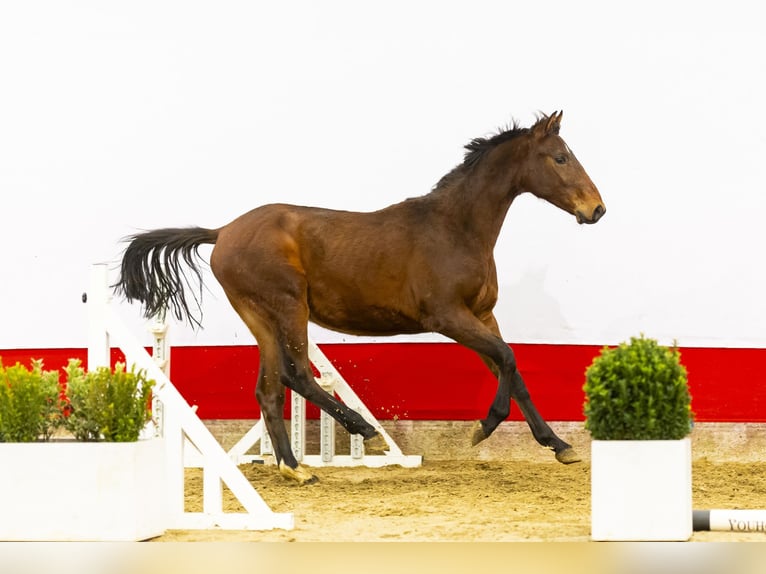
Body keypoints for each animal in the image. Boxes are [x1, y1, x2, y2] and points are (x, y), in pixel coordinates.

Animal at [115, 111, 608, 486]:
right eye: (561, 157)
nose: (597, 209)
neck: (456, 229)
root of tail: (223, 232)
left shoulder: (484, 315)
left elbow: (514, 370)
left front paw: (560, 446)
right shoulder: (448, 316)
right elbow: (507, 358)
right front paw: (482, 429)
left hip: (260, 316)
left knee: (270, 388)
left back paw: (294, 468)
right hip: (288, 307)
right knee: (297, 374)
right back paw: (362, 432)